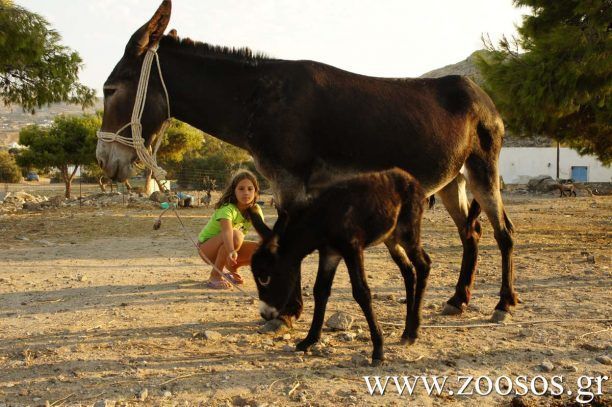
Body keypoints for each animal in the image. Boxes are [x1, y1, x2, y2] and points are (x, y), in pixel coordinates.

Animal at [249, 169, 430, 366]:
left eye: (264, 278)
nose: (265, 314)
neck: (324, 218)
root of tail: (408, 177)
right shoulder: (330, 254)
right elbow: (320, 291)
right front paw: (309, 340)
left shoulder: (352, 249)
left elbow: (362, 293)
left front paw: (378, 350)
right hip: (391, 239)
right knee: (408, 272)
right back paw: (407, 332)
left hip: (408, 233)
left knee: (423, 265)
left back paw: (413, 332)